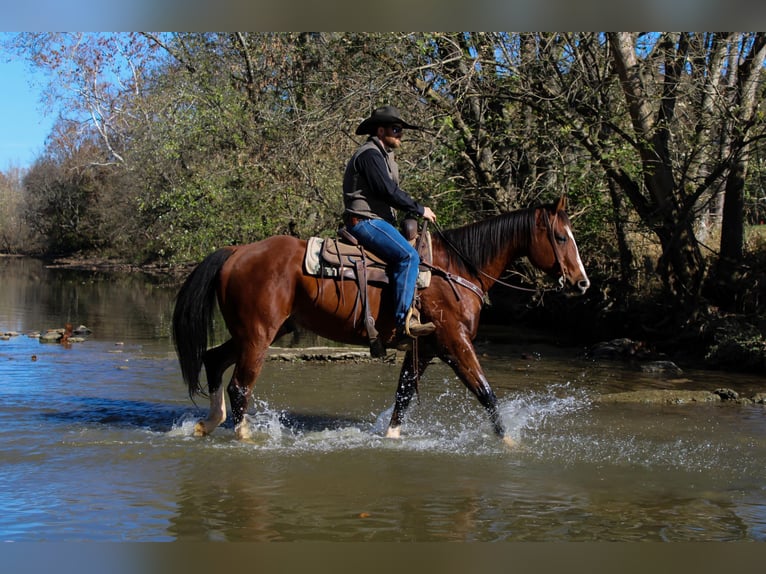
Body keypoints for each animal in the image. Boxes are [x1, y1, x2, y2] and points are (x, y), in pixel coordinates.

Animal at [171, 196, 592, 448]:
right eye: (560, 237)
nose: (582, 282)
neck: (456, 270)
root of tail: (236, 251)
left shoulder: (427, 348)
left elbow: (403, 394)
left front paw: (391, 436)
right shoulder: (454, 341)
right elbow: (485, 391)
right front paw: (509, 443)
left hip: (256, 332)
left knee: (213, 359)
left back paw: (209, 423)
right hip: (259, 335)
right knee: (240, 385)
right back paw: (244, 436)